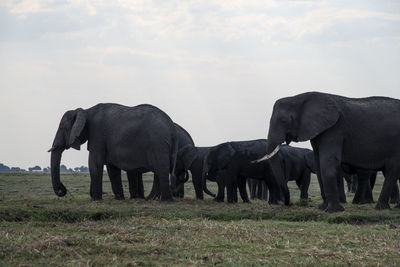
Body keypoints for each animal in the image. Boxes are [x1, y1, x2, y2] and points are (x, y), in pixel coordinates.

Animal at [48, 103, 177, 202]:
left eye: (62, 128)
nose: (62, 190)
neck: (86, 111)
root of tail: (171, 127)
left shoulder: (97, 134)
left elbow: (94, 163)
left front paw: (95, 200)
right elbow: (112, 168)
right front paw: (119, 199)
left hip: (157, 144)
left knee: (161, 169)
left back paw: (165, 201)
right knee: (160, 171)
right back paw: (153, 199)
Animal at [255, 92, 400, 214]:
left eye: (284, 121)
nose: (288, 204)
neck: (301, 97)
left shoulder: (334, 129)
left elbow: (327, 163)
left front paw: (332, 211)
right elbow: (319, 165)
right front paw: (322, 207)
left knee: (392, 170)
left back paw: (381, 208)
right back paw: (390, 208)